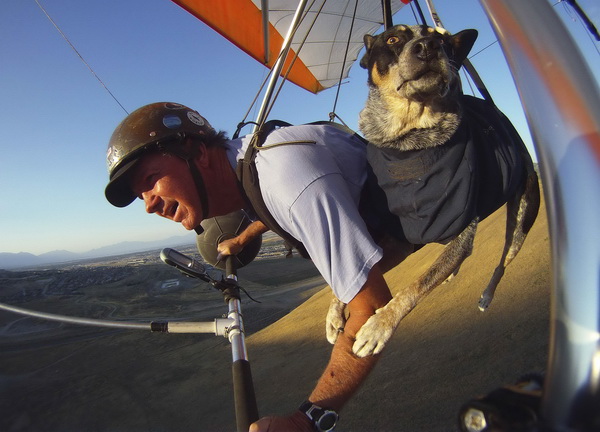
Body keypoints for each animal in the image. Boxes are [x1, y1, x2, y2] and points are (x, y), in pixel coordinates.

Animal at [326, 25, 540, 360]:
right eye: (392, 39)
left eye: (442, 40)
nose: (427, 46)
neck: (409, 140)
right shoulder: (397, 242)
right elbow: (355, 276)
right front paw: (334, 315)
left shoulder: (461, 228)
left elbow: (415, 286)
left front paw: (378, 327)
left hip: (523, 215)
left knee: (504, 259)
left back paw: (486, 295)